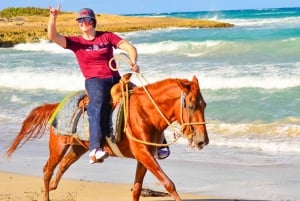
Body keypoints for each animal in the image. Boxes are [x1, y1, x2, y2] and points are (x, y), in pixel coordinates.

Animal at [4, 74, 207, 201]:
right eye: (190, 106)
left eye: (204, 105)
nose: (202, 141)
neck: (145, 112)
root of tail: (57, 106)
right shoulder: (143, 154)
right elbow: (168, 183)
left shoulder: (144, 156)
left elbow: (136, 189)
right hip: (58, 146)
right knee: (47, 170)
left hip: (78, 148)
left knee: (62, 167)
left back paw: (54, 186)